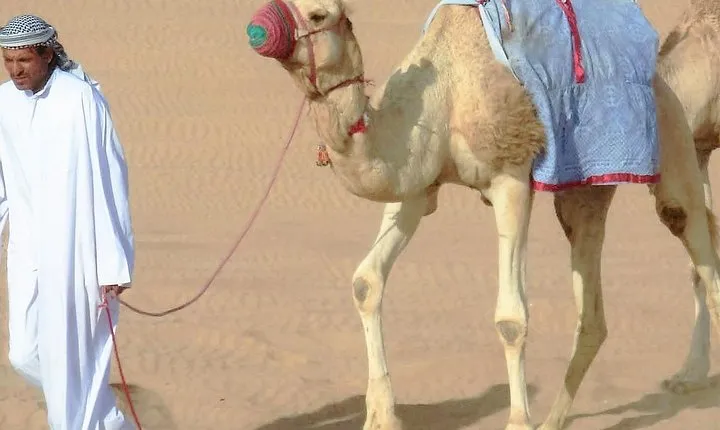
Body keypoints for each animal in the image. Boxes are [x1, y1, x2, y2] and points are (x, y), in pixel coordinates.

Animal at [245, 0, 720, 428]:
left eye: (318, 15)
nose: (257, 29)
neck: (447, 91)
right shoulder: (419, 181)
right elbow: (366, 281)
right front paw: (381, 416)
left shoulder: (510, 176)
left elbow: (511, 319)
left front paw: (518, 422)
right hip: (584, 187)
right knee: (593, 309)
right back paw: (554, 420)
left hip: (672, 134)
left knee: (689, 230)